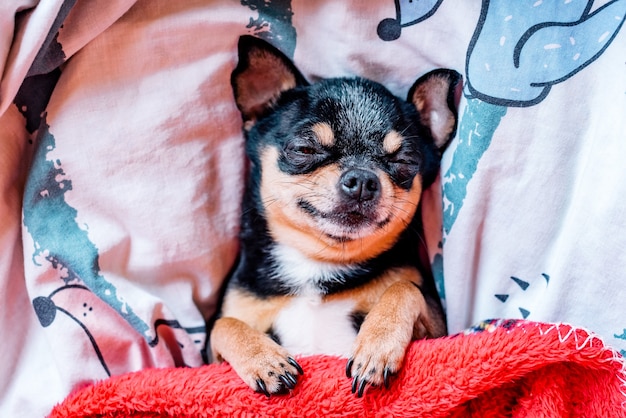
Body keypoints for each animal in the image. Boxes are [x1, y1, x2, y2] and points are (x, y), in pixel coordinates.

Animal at [212, 34, 460, 396]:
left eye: (404, 163)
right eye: (304, 149)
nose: (362, 181)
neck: (319, 263)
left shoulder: (439, 330)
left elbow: (403, 289)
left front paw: (376, 346)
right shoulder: (210, 355)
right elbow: (223, 324)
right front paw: (265, 360)